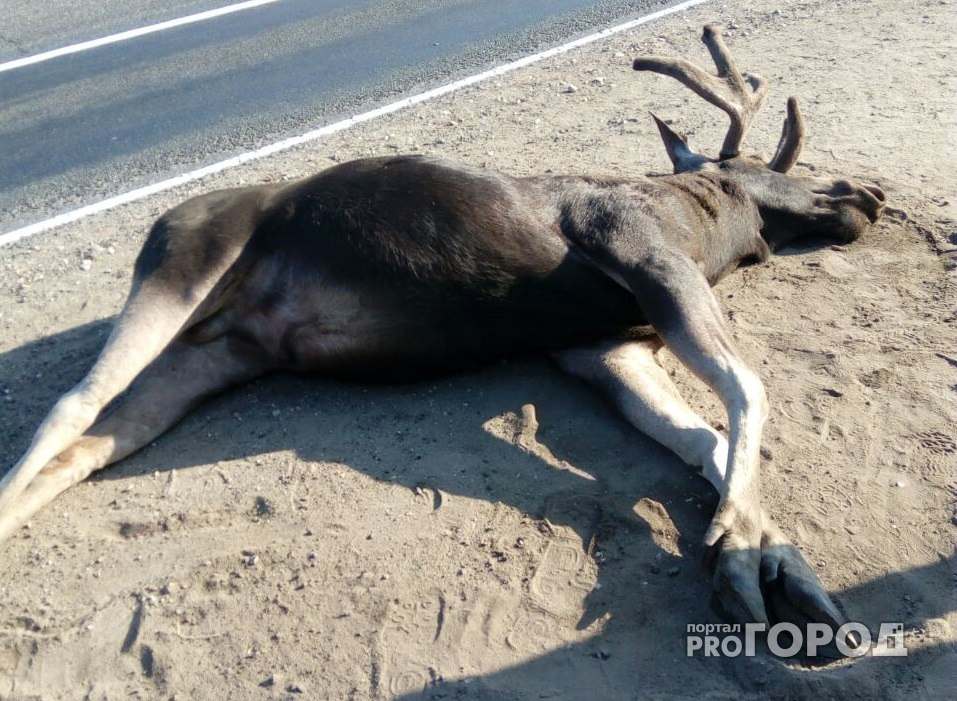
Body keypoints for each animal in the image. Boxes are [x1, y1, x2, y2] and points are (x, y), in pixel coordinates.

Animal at [0, 26, 880, 640]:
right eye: (792, 168)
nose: (867, 195)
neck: (712, 233)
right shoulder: (637, 250)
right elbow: (746, 388)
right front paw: (737, 550)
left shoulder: (604, 346)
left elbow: (705, 439)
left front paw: (774, 559)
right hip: (183, 265)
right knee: (72, 403)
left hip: (209, 356)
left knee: (93, 442)